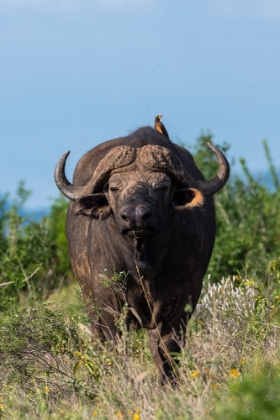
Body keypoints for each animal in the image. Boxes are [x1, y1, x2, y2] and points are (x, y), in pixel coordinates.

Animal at [54, 125, 230, 384]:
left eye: (162, 186)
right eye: (114, 187)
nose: (136, 216)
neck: (143, 261)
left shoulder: (184, 295)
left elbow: (167, 346)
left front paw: (169, 383)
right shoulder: (107, 298)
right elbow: (116, 345)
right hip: (88, 300)